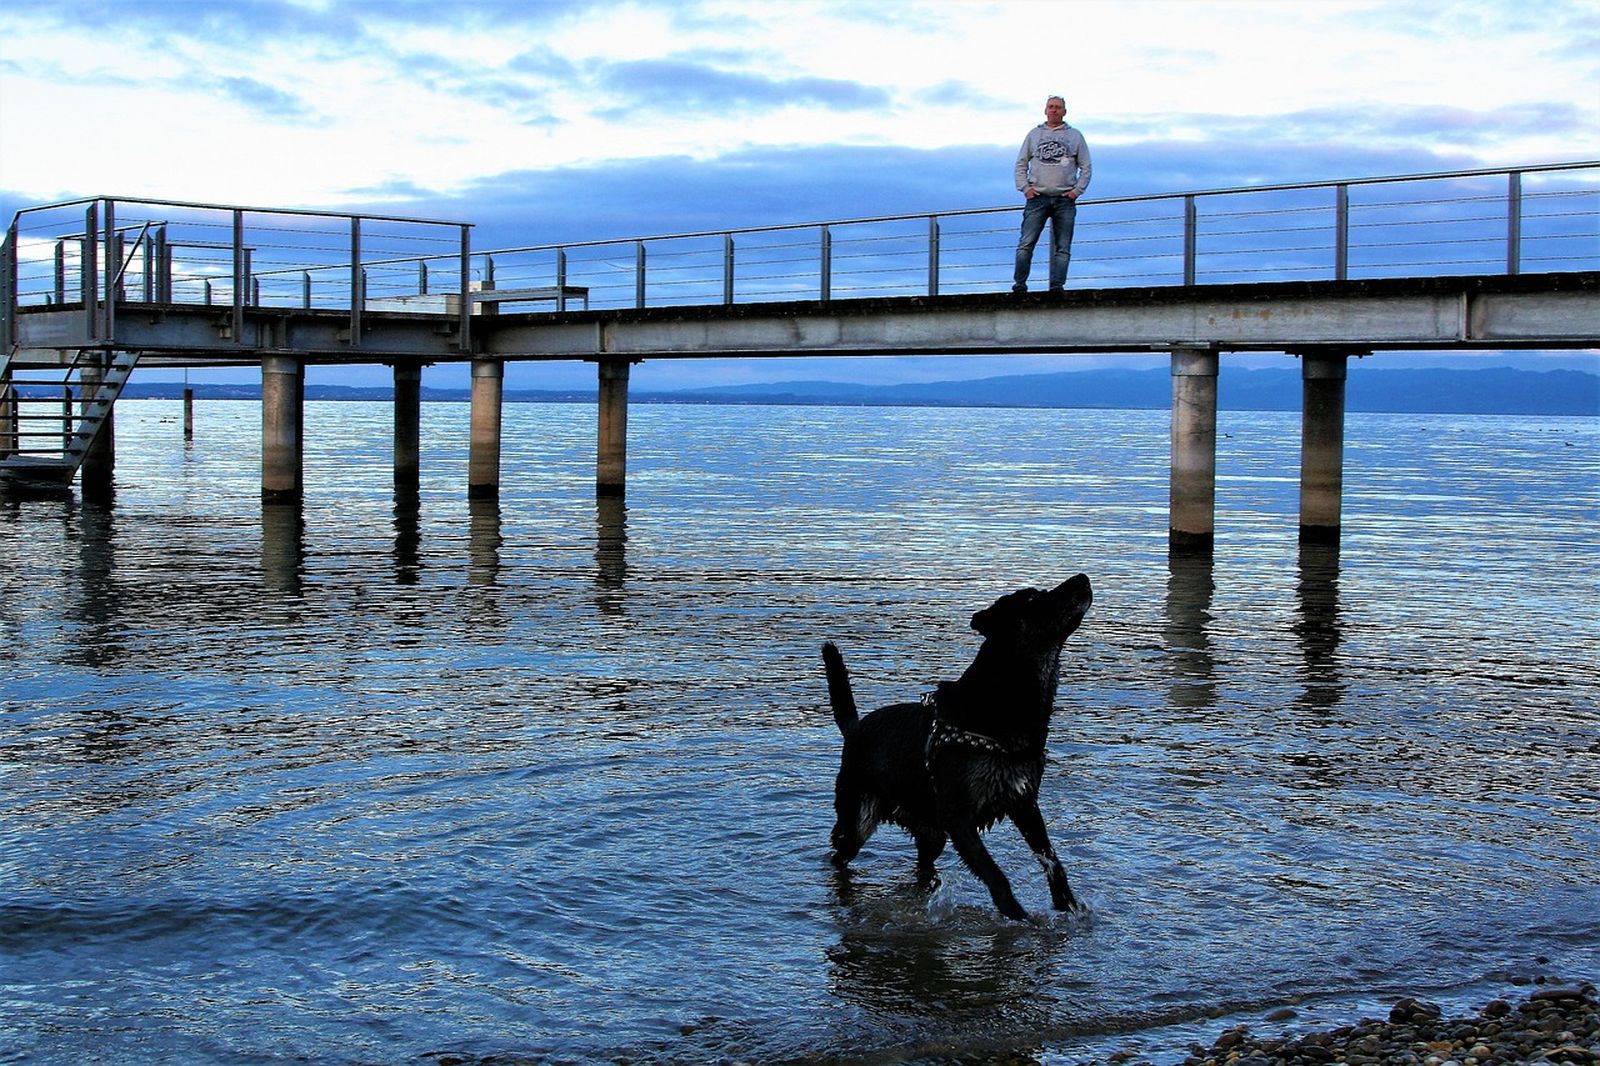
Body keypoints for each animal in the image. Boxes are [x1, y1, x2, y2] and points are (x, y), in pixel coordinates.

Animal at [825, 576, 1088, 915]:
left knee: (923, 865)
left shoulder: (1023, 802)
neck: (1003, 700)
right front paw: (1016, 916)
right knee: (838, 856)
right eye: (1032, 599)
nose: (1083, 578)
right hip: (857, 819)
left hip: (931, 833)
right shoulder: (959, 819)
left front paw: (1065, 903)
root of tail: (854, 728)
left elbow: (1051, 858)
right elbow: (995, 874)